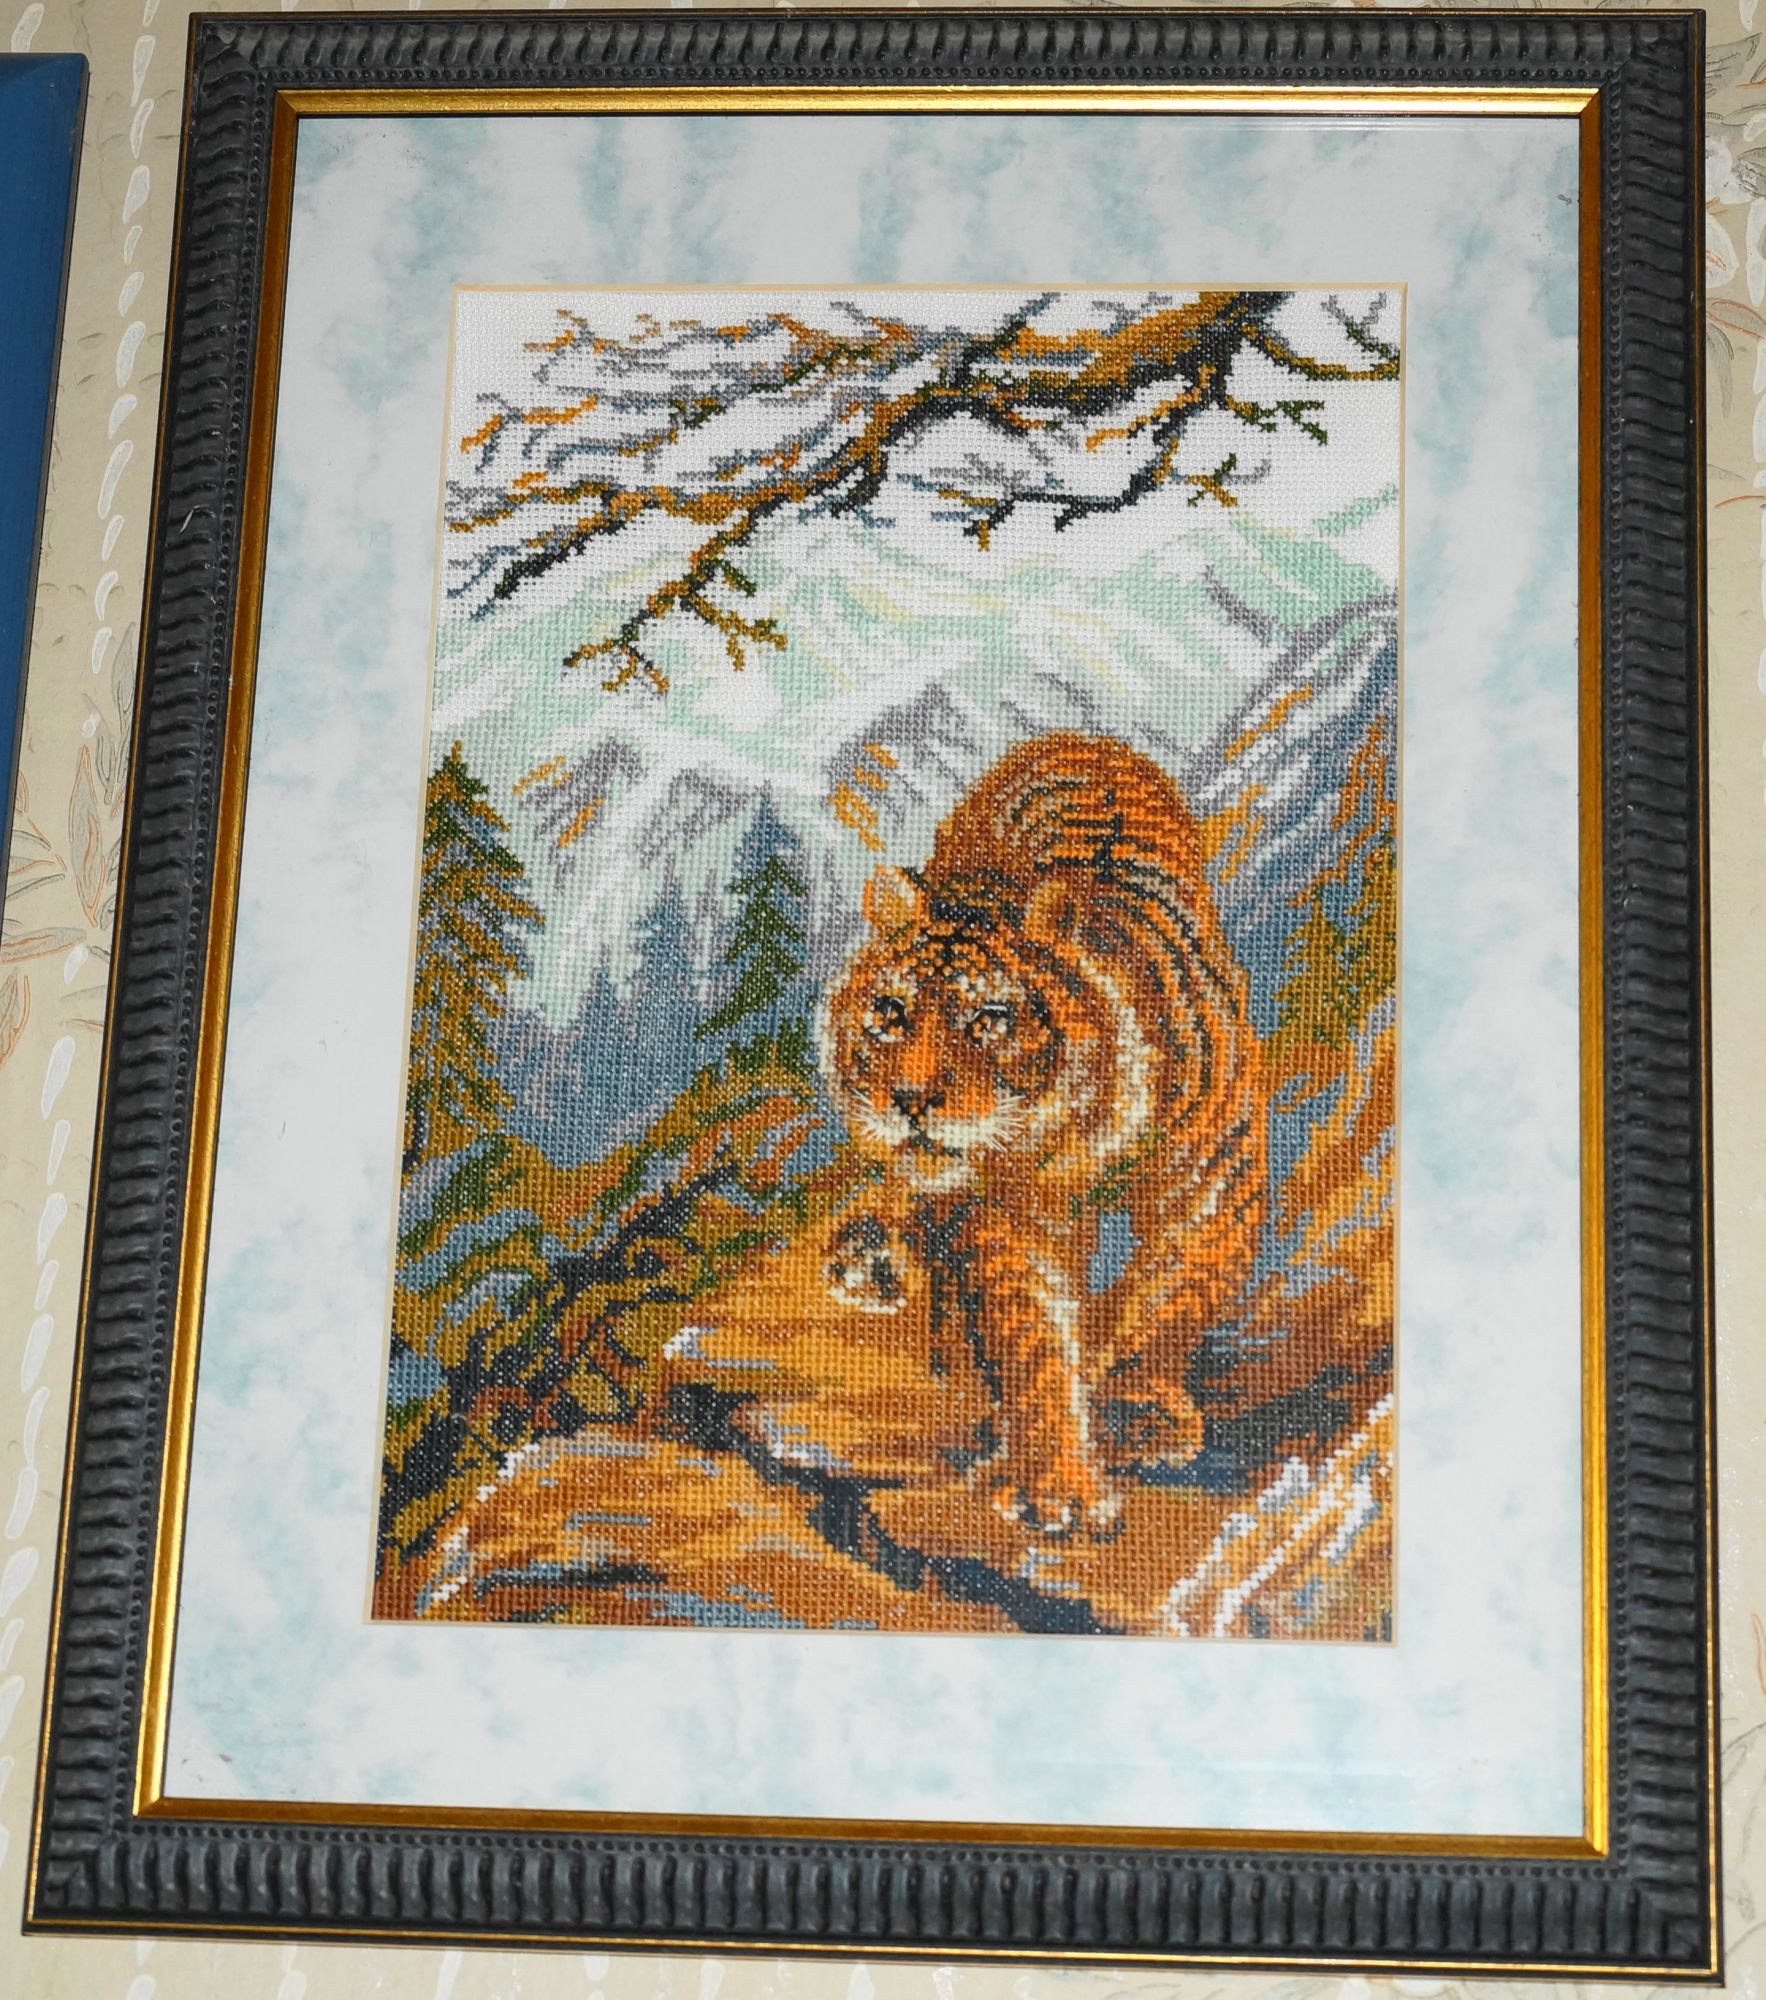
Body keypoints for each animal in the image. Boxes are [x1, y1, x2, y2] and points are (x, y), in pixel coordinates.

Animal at [818, 731, 1268, 1536]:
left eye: (988, 1020)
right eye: (891, 1013)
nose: (909, 1099)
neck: (1078, 1135)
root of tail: (1078, 738)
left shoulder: (1211, 1174)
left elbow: (1178, 1291)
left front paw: (1135, 1406)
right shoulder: (1005, 1220)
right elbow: (1029, 1335)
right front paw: (1057, 1483)